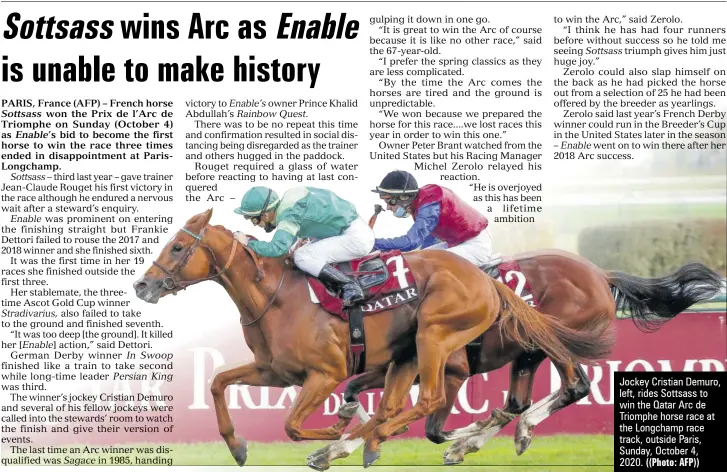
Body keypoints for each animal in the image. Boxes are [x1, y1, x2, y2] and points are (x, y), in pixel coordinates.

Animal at [135, 210, 616, 468]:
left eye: (177, 247)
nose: (143, 285)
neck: (276, 297)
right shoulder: (276, 371)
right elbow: (218, 382)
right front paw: (237, 446)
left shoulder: (326, 373)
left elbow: (295, 424)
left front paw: (336, 434)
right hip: (467, 353)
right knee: (506, 401)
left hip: (447, 338)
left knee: (568, 386)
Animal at [308, 249, 724, 466]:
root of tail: (601, 275)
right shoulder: (395, 368)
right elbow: (358, 396)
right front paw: (333, 448)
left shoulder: (452, 371)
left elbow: (432, 429)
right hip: (529, 352)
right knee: (521, 400)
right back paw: (504, 432)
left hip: (556, 340)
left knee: (574, 387)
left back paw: (506, 433)